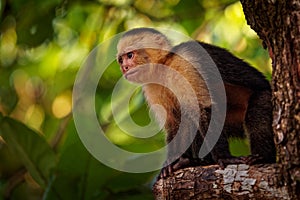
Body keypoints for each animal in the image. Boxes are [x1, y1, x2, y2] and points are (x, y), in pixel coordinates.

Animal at [116, 27, 276, 179]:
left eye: (130, 55)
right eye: (121, 60)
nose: (124, 68)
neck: (164, 66)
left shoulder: (183, 65)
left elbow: (203, 108)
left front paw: (225, 157)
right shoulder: (151, 87)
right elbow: (173, 123)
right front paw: (171, 163)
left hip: (265, 97)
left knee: (256, 107)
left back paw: (262, 157)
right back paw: (192, 161)